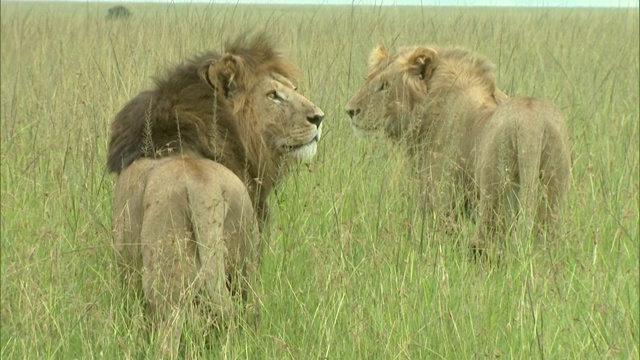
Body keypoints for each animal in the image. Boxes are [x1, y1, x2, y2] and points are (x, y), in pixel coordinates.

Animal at [107, 33, 324, 354]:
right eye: (273, 95)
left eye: (294, 90)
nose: (319, 117)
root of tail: (203, 188)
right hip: (239, 270)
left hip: (168, 283)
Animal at [348, 45, 572, 252]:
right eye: (367, 79)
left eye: (384, 86)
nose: (350, 111)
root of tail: (531, 124)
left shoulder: (440, 201)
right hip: (552, 197)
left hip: (493, 198)